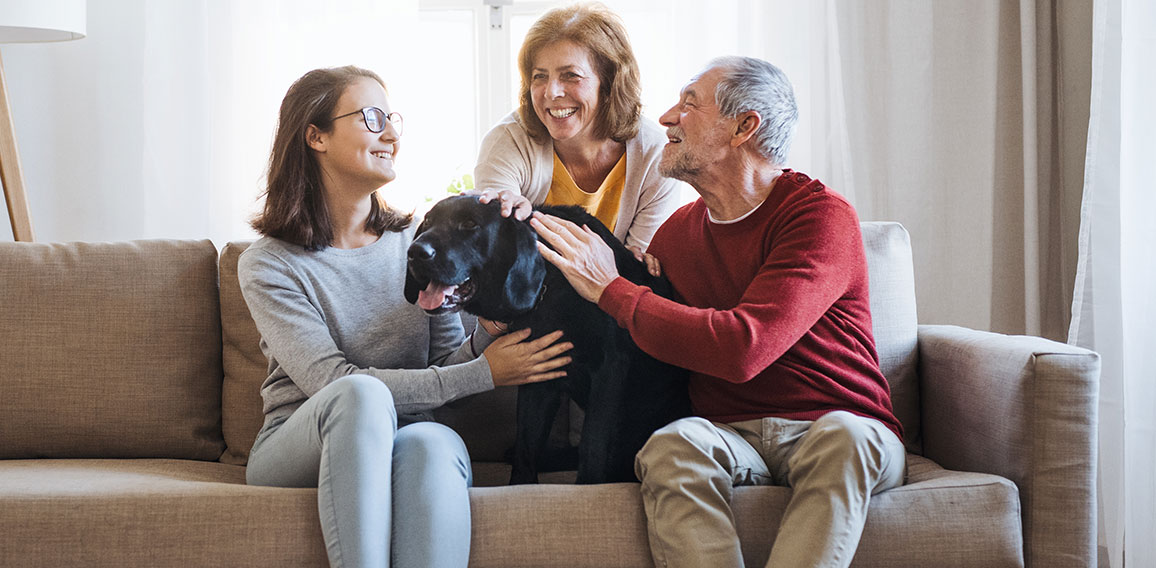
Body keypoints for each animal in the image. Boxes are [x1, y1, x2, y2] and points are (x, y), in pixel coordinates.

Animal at [406, 196, 684, 483]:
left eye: (470, 224)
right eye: (427, 221)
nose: (415, 252)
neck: (550, 284)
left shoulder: (609, 369)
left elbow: (593, 442)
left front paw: (586, 484)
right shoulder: (539, 376)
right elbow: (526, 443)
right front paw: (521, 484)